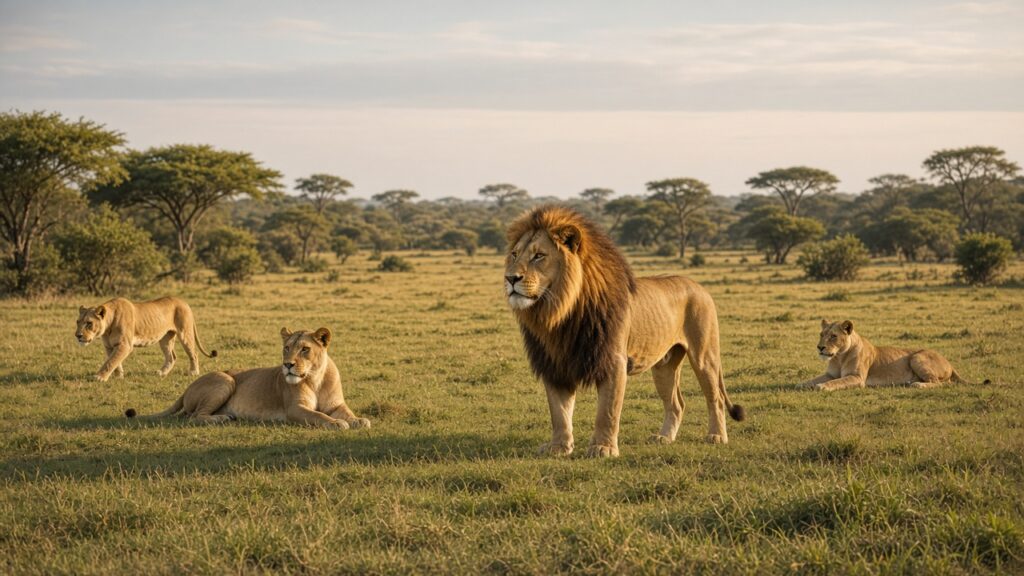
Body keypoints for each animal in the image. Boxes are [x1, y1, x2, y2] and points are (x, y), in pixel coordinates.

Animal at [76, 296, 217, 382]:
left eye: (89, 323)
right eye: (78, 322)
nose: (78, 336)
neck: (107, 328)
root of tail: (183, 301)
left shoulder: (125, 345)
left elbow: (110, 362)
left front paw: (99, 377)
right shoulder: (109, 346)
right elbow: (114, 361)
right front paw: (118, 376)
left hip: (184, 333)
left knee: (194, 353)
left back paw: (193, 372)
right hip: (165, 338)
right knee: (172, 356)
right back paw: (161, 373)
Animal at [126, 327, 370, 429]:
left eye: (304, 349)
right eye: (287, 348)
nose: (287, 365)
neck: (315, 378)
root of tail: (187, 388)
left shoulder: (336, 404)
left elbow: (347, 412)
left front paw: (358, 420)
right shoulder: (295, 409)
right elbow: (319, 416)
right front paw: (337, 423)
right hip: (226, 380)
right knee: (194, 416)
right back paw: (222, 419)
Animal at [505, 206, 744, 458]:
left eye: (539, 255)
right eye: (514, 254)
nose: (510, 278)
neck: (561, 313)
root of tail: (700, 287)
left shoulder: (613, 361)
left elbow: (607, 411)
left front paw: (603, 448)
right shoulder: (554, 364)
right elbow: (559, 412)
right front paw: (559, 447)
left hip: (704, 356)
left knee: (716, 397)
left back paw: (717, 436)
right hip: (664, 366)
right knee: (676, 403)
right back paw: (664, 438)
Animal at [799, 319, 980, 391]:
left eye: (833, 336)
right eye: (821, 334)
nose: (820, 347)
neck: (839, 356)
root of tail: (949, 363)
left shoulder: (857, 378)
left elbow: (837, 382)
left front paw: (821, 387)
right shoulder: (830, 373)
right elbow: (812, 380)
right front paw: (801, 384)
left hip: (916, 357)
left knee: (942, 383)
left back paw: (917, 384)